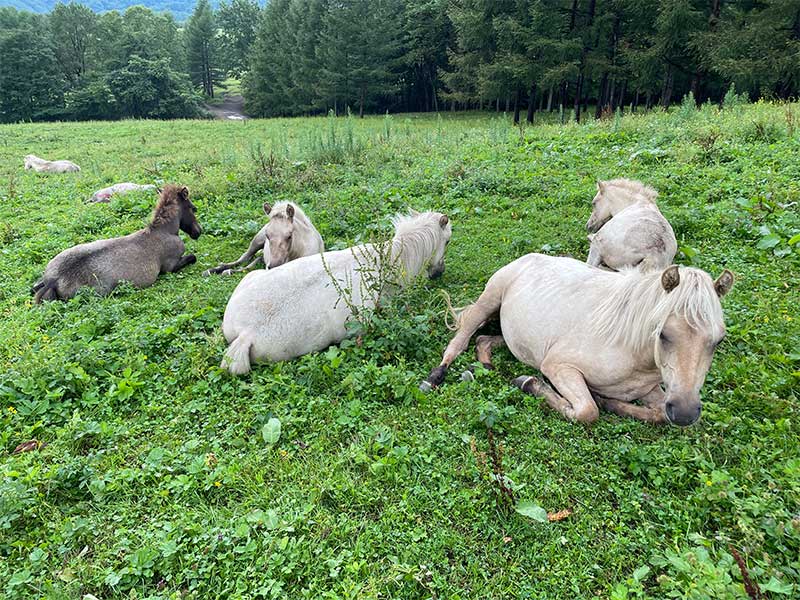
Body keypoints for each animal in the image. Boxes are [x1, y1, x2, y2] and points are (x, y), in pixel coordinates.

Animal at [33, 183, 203, 302]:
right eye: (193, 208)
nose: (198, 232)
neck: (164, 231)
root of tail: (54, 280)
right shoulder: (170, 266)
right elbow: (192, 257)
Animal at [422, 255, 736, 428]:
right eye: (663, 334)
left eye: (718, 341)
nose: (684, 413)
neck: (630, 349)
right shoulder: (558, 366)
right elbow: (587, 411)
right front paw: (529, 384)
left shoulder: (650, 390)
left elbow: (657, 414)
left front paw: (611, 402)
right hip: (490, 299)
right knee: (461, 337)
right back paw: (436, 376)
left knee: (485, 341)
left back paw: (484, 366)